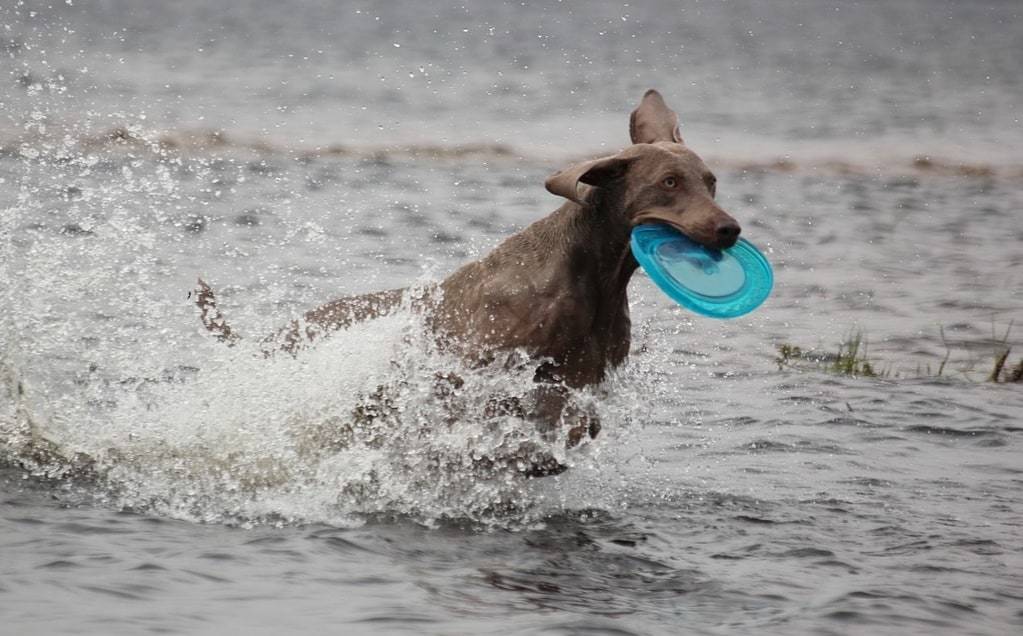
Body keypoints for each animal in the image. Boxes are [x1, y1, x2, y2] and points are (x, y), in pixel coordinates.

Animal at [195, 89, 740, 476]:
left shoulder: (582, 379)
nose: (729, 228)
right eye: (669, 182)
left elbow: (578, 422)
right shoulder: (472, 368)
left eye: (711, 182)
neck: (595, 276)